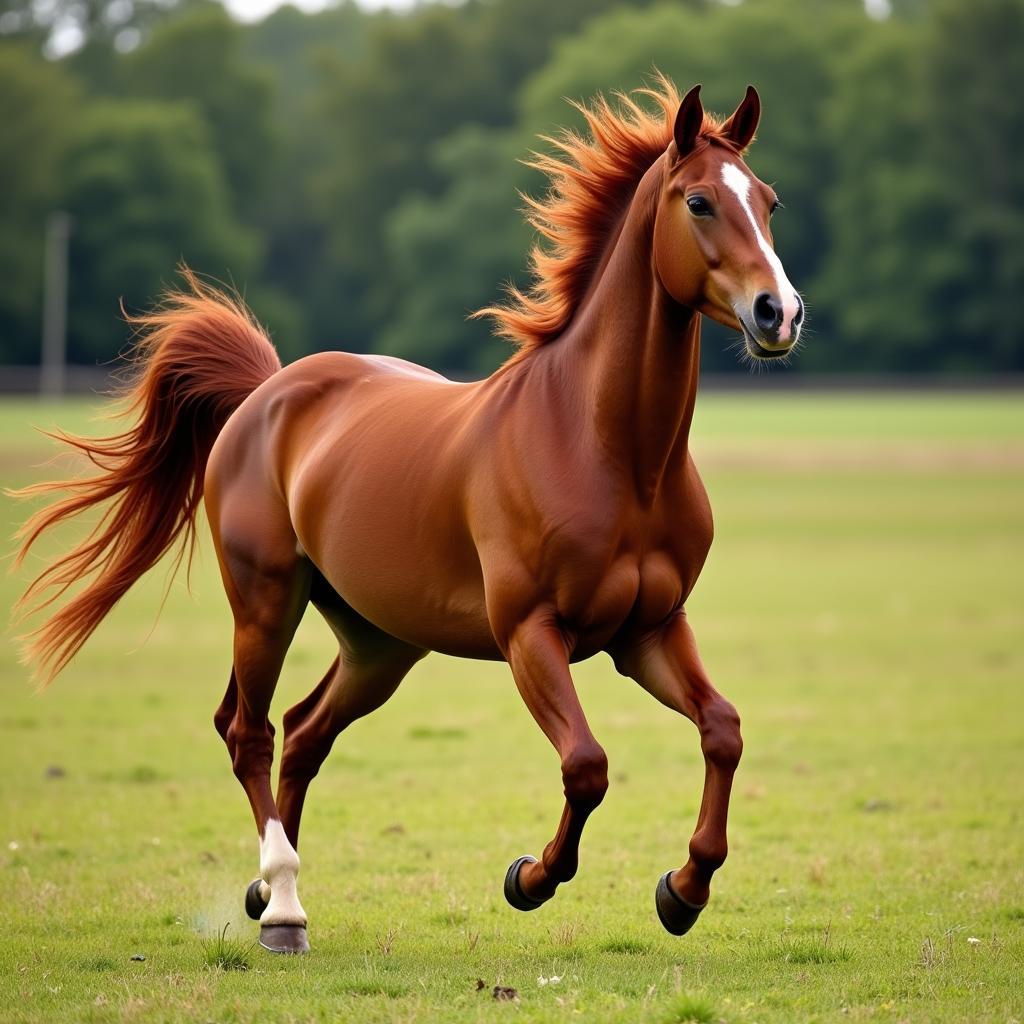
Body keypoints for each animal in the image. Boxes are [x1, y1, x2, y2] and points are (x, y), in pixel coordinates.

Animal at [12, 77, 802, 950]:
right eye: (698, 201)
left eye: (767, 201)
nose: (779, 313)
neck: (608, 450)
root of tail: (266, 391)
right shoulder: (531, 634)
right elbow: (587, 765)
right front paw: (530, 879)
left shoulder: (650, 632)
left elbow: (723, 729)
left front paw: (683, 889)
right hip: (265, 602)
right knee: (250, 732)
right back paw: (282, 905)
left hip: (379, 643)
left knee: (305, 731)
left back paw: (267, 891)